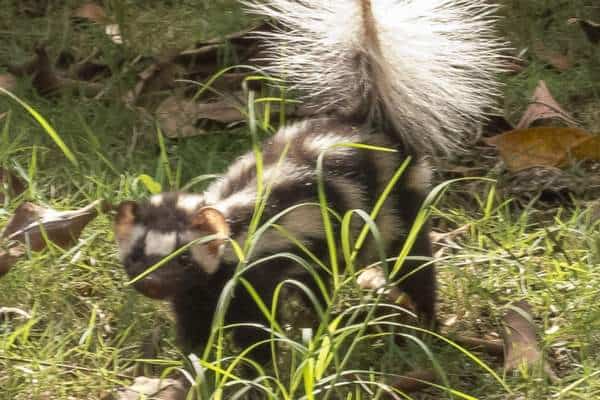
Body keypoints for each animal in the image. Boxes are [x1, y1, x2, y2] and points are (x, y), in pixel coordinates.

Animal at [113, 0, 506, 362]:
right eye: (137, 255)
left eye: (183, 259)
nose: (152, 283)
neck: (233, 229)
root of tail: (366, 122)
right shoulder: (197, 292)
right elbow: (195, 326)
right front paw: (197, 366)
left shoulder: (252, 273)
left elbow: (254, 329)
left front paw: (257, 372)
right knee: (320, 283)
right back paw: (318, 323)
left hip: (397, 201)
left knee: (411, 261)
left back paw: (426, 322)